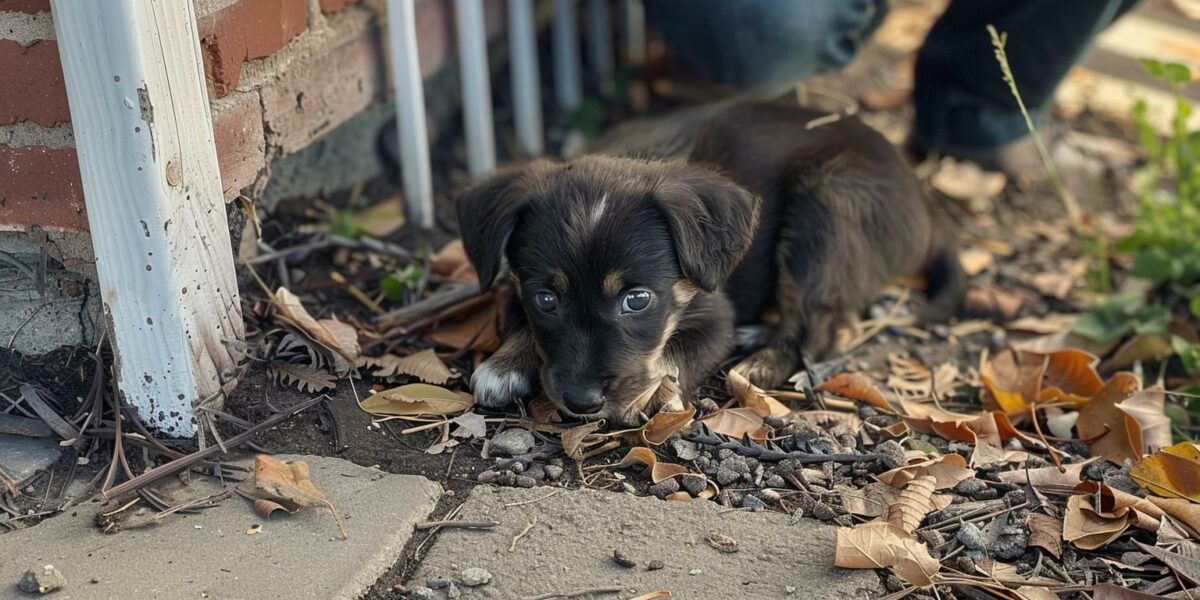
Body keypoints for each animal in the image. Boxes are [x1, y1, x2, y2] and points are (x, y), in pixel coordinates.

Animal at [456, 99, 964, 427]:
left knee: (818, 326)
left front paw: (660, 391)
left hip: (827, 206)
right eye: (547, 299)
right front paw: (506, 363)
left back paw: (761, 361)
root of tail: (928, 208)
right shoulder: (516, 286)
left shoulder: (714, 313)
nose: (582, 403)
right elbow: (519, 315)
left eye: (636, 300)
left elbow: (679, 354)